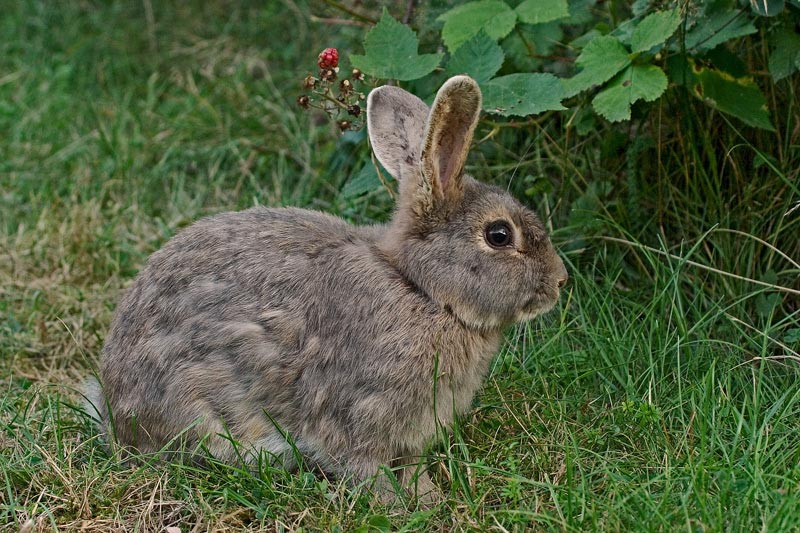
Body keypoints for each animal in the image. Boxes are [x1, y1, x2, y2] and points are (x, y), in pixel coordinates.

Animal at [84, 75, 564, 502]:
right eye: (499, 235)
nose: (560, 281)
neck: (421, 290)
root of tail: (116, 412)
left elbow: (411, 468)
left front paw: (428, 497)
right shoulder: (361, 414)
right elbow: (367, 469)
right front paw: (405, 506)